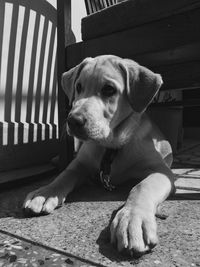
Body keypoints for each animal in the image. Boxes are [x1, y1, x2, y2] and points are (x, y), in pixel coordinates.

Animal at [23, 55, 175, 256]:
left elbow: (142, 186)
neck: (111, 146)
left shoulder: (161, 170)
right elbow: (64, 175)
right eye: (78, 87)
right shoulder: (80, 164)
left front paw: (132, 219)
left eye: (109, 89)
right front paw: (46, 192)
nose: (72, 121)